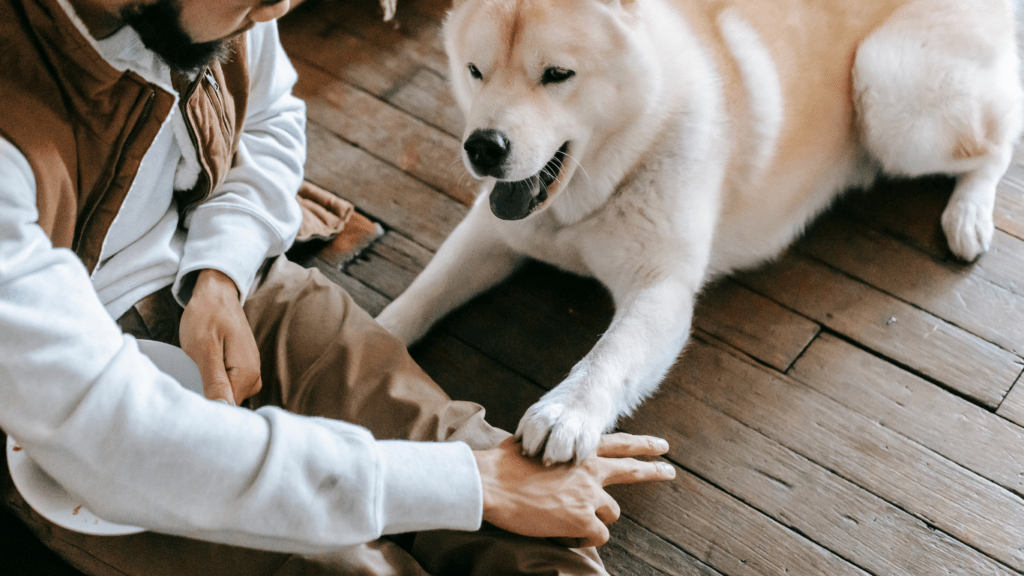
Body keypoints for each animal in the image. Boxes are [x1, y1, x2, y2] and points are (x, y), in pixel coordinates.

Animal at [378, 0, 1024, 461]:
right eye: (476, 71)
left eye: (557, 75)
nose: (483, 147)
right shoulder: (491, 234)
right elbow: (423, 293)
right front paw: (373, 337)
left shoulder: (661, 288)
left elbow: (610, 356)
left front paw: (567, 414)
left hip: (889, 91)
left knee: (999, 139)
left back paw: (968, 214)